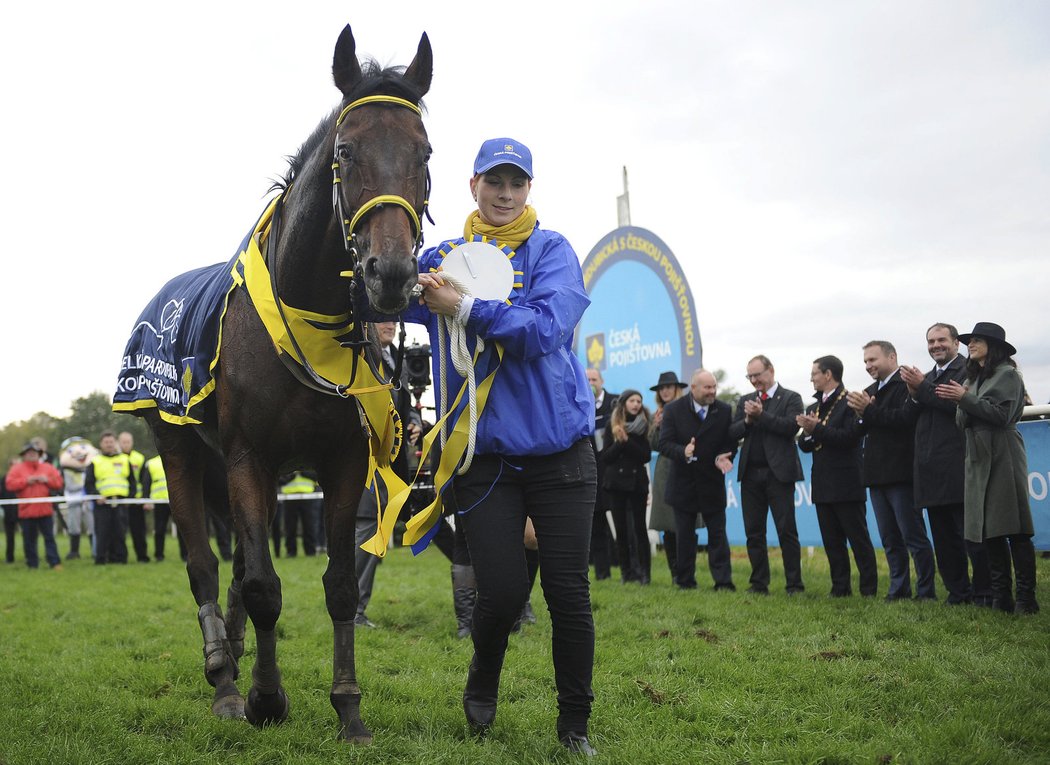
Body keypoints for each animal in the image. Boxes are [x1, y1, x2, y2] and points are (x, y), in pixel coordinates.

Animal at [119, 26, 434, 742]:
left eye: (424, 152)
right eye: (346, 151)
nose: (391, 274)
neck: (306, 318)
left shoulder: (344, 462)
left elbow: (339, 584)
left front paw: (348, 706)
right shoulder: (247, 456)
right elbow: (262, 584)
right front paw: (265, 698)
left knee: (236, 563)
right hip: (179, 448)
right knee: (206, 564)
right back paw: (223, 677)